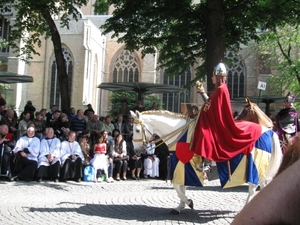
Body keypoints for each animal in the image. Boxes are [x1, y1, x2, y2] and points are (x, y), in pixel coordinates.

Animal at [131, 110, 282, 214]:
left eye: (137, 130)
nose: (136, 151)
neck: (181, 134)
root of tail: (268, 131)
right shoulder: (181, 167)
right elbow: (181, 187)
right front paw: (180, 207)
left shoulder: (185, 165)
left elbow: (177, 187)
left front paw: (188, 202)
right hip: (261, 167)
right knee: (263, 185)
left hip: (254, 165)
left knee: (252, 188)